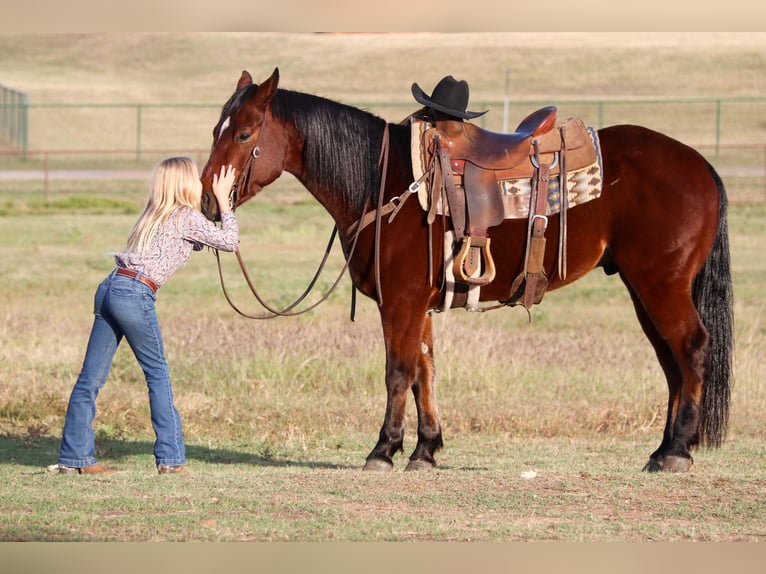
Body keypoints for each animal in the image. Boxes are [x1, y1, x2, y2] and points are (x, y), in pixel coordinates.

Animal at [201, 68, 736, 472]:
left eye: (244, 133)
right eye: (215, 130)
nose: (207, 202)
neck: (385, 183)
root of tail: (701, 164)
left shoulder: (402, 300)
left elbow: (398, 371)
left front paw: (383, 449)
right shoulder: (418, 305)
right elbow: (425, 370)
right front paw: (424, 449)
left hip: (660, 285)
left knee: (691, 348)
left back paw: (677, 452)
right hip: (641, 287)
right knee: (670, 361)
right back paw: (661, 449)